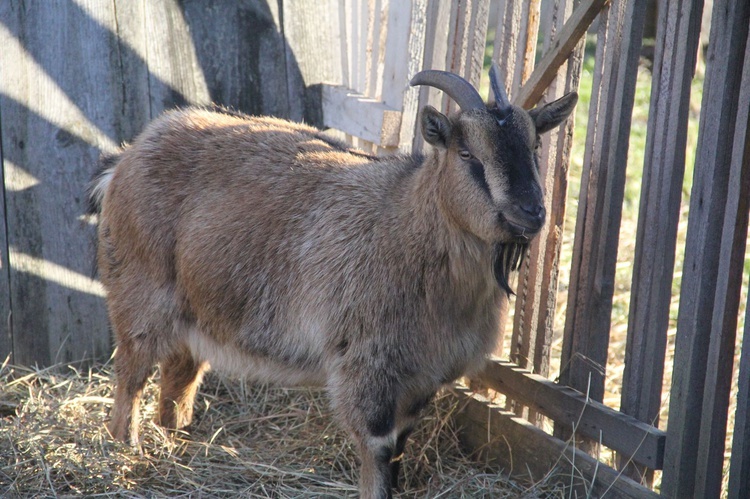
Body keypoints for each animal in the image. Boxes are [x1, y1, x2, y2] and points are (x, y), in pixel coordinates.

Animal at [89, 63, 580, 499]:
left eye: (535, 146)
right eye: (467, 154)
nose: (531, 212)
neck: (407, 221)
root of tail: (127, 156)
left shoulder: (424, 373)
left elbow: (400, 446)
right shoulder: (364, 363)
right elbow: (379, 448)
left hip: (197, 310)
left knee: (178, 376)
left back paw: (177, 440)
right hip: (139, 294)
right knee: (131, 377)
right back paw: (127, 452)